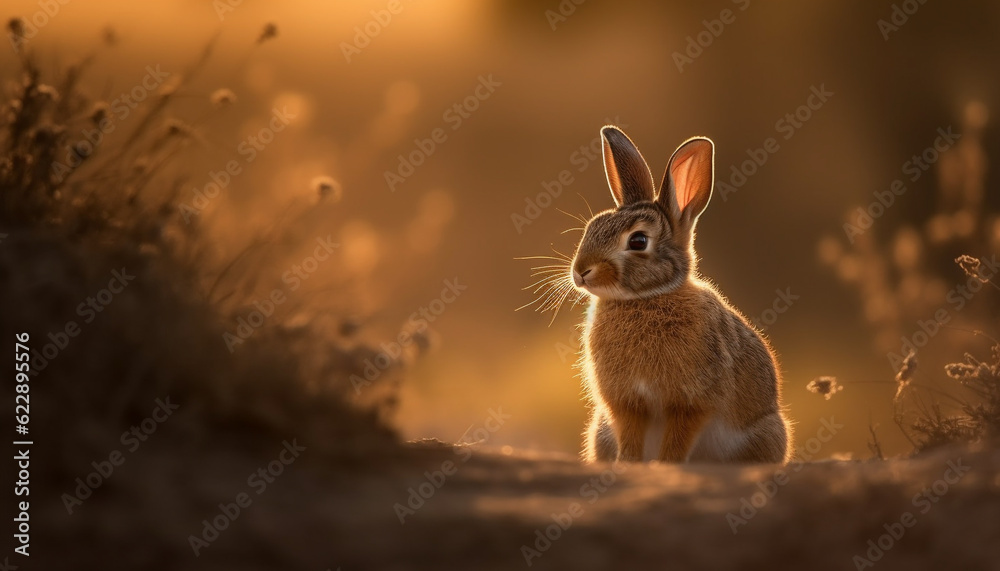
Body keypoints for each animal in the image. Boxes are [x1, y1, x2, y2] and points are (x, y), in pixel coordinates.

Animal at [572, 125, 791, 464]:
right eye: (593, 226)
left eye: (638, 241)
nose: (580, 271)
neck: (646, 298)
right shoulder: (627, 404)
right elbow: (631, 437)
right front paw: (628, 464)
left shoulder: (690, 403)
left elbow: (677, 440)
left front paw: (665, 465)